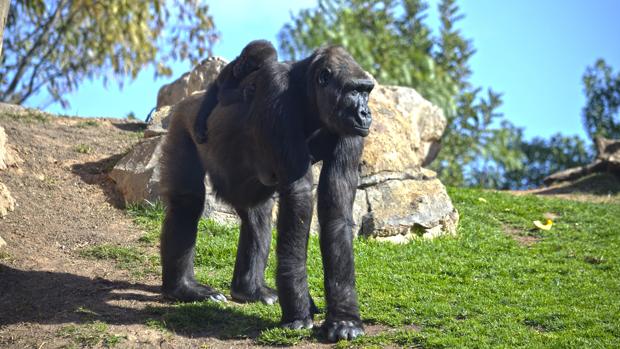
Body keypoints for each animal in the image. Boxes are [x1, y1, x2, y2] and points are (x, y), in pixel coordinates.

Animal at [159, 44, 372, 340]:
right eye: (353, 90)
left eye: (367, 91)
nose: (365, 113)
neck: (307, 94)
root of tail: (190, 100)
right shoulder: (278, 94)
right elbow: (299, 197)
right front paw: (298, 311)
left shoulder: (348, 129)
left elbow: (336, 209)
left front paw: (344, 318)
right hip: (182, 121)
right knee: (187, 203)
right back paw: (182, 287)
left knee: (257, 215)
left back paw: (248, 289)